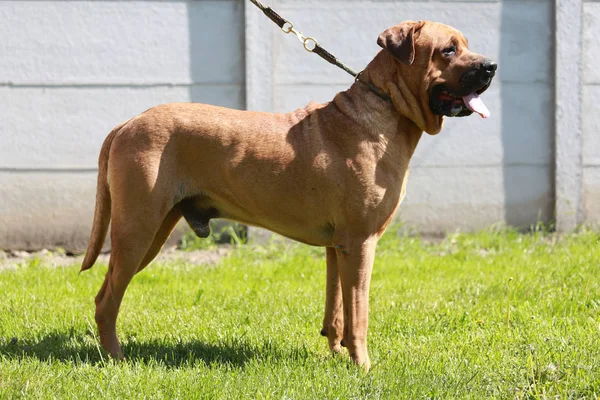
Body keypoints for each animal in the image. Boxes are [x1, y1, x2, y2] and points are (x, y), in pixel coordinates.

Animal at [81, 20, 496, 370]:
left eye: (466, 45)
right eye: (448, 50)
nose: (491, 66)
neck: (385, 107)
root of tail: (127, 124)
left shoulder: (339, 247)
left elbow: (337, 310)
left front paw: (337, 353)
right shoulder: (361, 243)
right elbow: (359, 313)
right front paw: (363, 366)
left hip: (152, 232)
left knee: (106, 294)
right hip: (138, 229)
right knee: (107, 300)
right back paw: (116, 358)